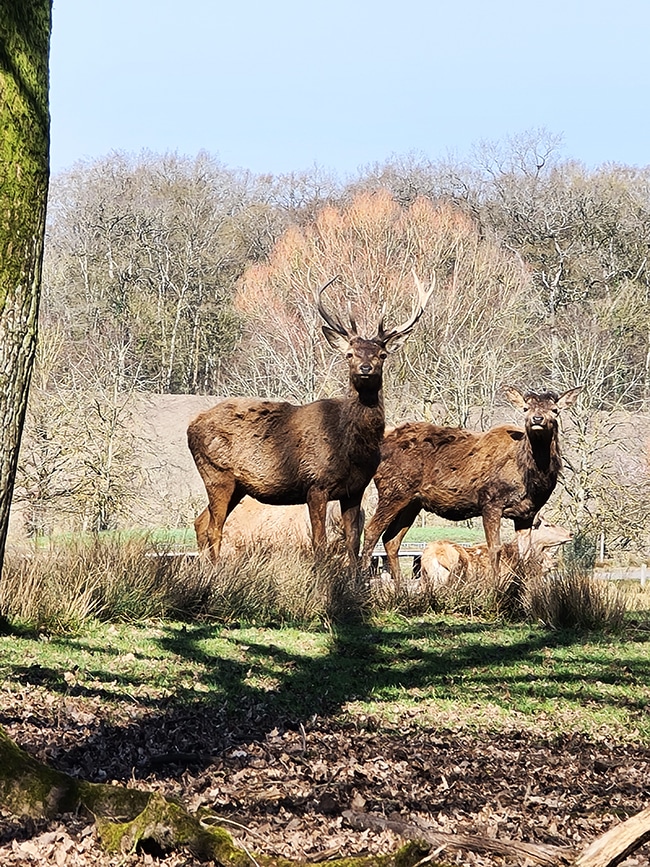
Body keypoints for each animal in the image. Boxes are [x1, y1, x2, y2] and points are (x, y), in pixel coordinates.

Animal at [186, 274, 430, 568]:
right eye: (349, 354)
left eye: (381, 355)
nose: (366, 368)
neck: (352, 449)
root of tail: (191, 427)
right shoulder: (315, 484)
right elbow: (319, 542)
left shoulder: (355, 489)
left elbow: (352, 543)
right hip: (216, 473)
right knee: (213, 528)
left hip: (237, 485)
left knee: (201, 522)